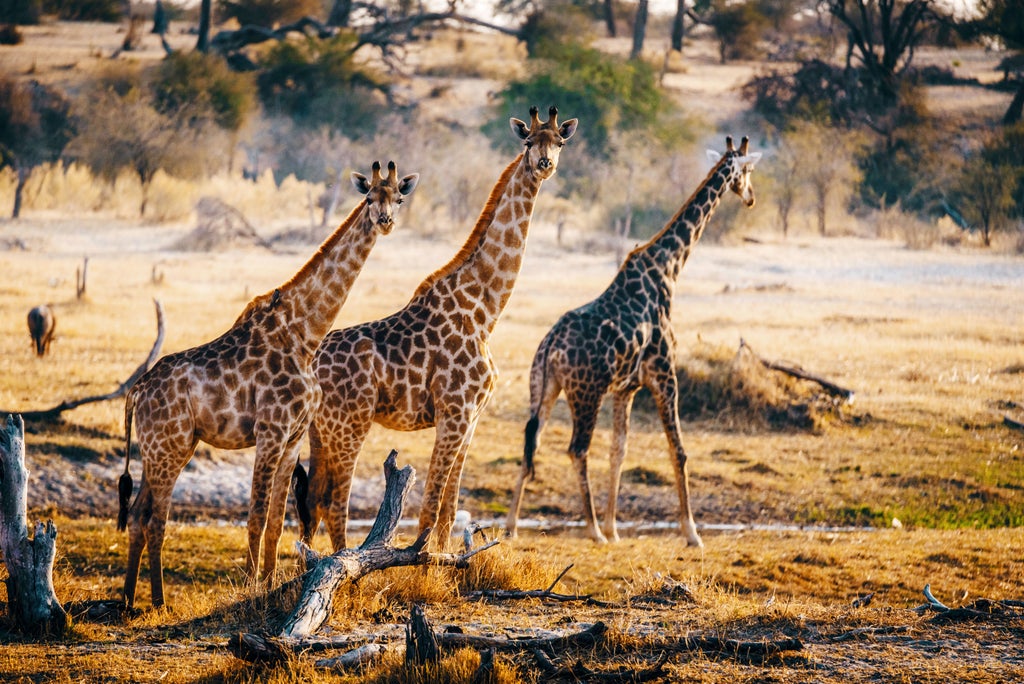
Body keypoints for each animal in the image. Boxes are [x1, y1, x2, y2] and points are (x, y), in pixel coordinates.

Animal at [119, 161, 419, 610]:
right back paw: (154, 601)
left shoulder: (292, 437)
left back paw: (131, 600)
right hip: (166, 447)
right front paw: (248, 586)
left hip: (169, 446)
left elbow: (277, 520)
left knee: (141, 514)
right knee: (153, 517)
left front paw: (268, 582)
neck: (305, 335)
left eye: (398, 197)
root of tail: (137, 391)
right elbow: (256, 515)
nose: (385, 221)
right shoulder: (271, 430)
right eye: (369, 197)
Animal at [299, 108, 581, 557]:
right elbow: (430, 510)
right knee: (335, 505)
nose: (544, 164)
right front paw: (420, 566)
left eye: (560, 141)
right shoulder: (454, 413)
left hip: (320, 431)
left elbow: (449, 512)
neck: (484, 311)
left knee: (312, 502)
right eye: (527, 141)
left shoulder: (471, 419)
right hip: (349, 426)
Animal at [503, 136, 761, 548]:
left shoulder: (626, 388)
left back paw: (512, 526)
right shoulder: (664, 375)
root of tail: (550, 348)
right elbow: (678, 451)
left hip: (542, 387)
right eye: (748, 171)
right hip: (586, 394)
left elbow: (618, 451)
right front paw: (691, 532)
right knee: (576, 449)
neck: (670, 267)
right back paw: (592, 530)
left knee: (532, 443)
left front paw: (615, 527)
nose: (750, 197)